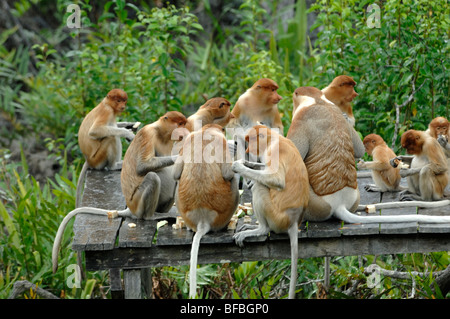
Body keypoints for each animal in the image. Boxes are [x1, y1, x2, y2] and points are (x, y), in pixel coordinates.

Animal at [52, 111, 188, 274]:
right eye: (179, 124)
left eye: (183, 123)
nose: (183, 132)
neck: (162, 134)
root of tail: (130, 209)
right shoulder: (147, 135)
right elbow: (142, 166)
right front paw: (181, 155)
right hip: (138, 203)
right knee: (152, 177)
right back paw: (152, 216)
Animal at [174, 124, 241, 298]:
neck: (206, 132)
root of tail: (203, 220)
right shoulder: (220, 142)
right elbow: (228, 174)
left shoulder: (188, 140)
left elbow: (175, 173)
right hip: (225, 210)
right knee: (232, 182)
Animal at [232, 125, 310, 300]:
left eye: (251, 140)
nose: (247, 149)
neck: (273, 139)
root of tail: (293, 221)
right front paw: (246, 163)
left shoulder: (273, 152)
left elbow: (276, 180)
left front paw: (239, 166)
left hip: (276, 217)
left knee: (260, 186)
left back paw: (259, 229)